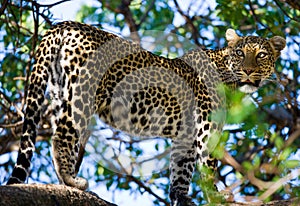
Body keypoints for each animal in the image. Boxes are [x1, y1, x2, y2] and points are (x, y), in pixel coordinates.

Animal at [5, 21, 284, 206]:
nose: (248, 71)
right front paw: (215, 195)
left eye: (261, 55)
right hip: (80, 96)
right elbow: (207, 165)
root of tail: (64, 25)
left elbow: (181, 170)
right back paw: (72, 181)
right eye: (240, 53)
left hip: (59, 93)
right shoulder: (205, 128)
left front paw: (180, 198)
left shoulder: (185, 136)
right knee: (61, 136)